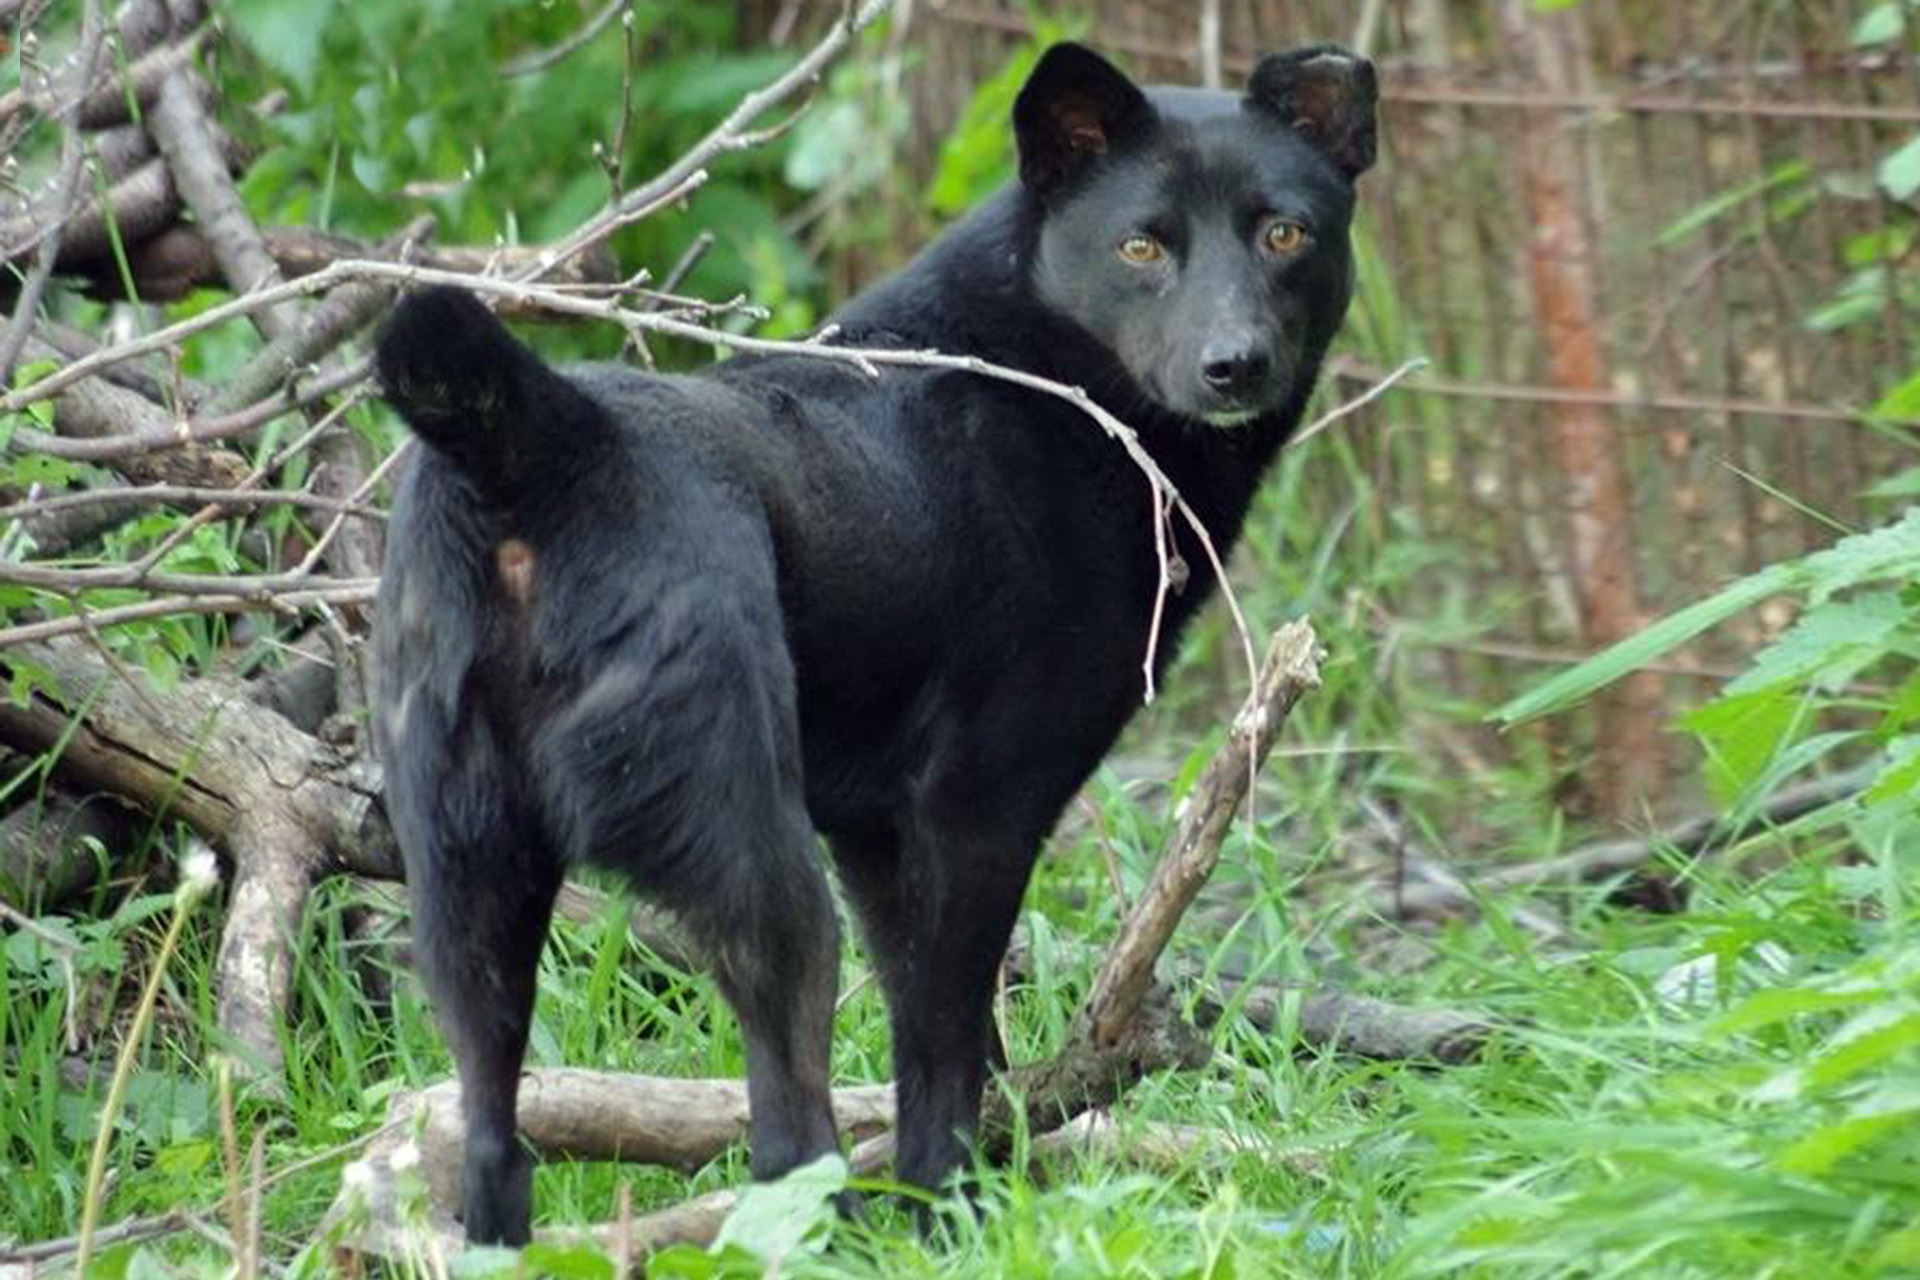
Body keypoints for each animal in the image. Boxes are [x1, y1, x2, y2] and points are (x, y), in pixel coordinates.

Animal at [372, 41, 1376, 1245]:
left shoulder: (878, 833)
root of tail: (544, 440)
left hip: (466, 877)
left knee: (490, 1133)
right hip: (759, 863)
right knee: (784, 1128)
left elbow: (934, 1038)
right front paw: (958, 1217)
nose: (1236, 364)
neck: (1046, 375)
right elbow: (946, 1049)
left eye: (1286, 234)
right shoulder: (976, 813)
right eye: (1142, 246)